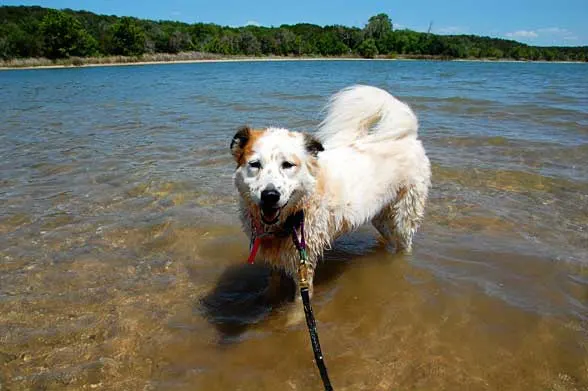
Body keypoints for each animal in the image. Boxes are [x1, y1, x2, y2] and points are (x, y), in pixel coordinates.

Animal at [231, 85, 432, 300]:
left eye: (288, 165)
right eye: (254, 164)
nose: (270, 195)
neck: (292, 216)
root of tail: (409, 136)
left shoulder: (304, 262)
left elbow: (299, 301)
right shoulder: (275, 259)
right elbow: (272, 285)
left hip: (405, 214)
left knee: (404, 243)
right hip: (380, 214)